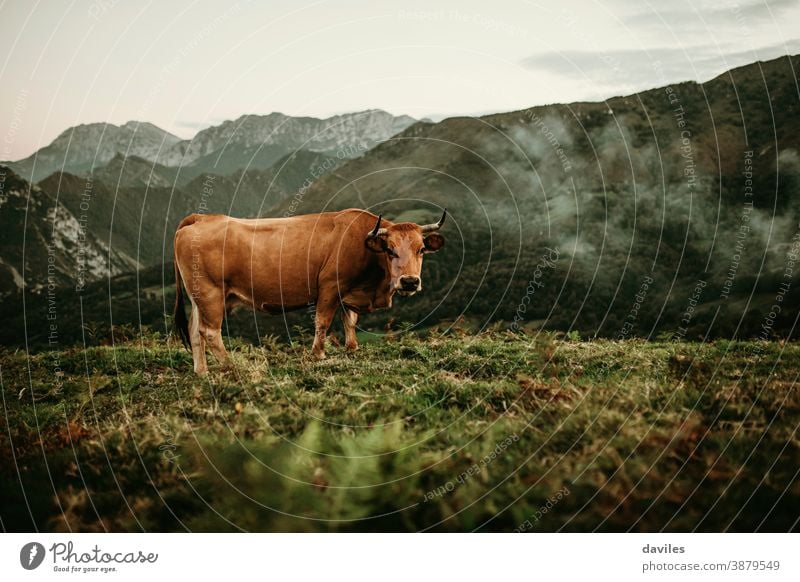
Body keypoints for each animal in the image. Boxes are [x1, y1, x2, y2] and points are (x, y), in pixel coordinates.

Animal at [173, 210, 444, 374]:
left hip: (199, 297)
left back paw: (202, 371)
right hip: (211, 293)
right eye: (389, 249)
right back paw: (233, 366)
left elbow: (349, 320)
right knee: (209, 332)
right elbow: (323, 321)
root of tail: (201, 217)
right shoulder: (330, 286)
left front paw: (352, 348)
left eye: (421, 249)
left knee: (194, 330)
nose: (409, 281)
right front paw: (318, 354)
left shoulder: (347, 293)